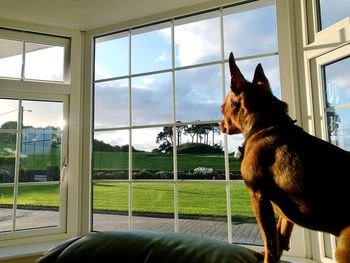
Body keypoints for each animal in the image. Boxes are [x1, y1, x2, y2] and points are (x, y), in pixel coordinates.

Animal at [221, 52, 350, 262]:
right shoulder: (283, 210)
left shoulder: (258, 196)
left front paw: (268, 257)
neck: (265, 124)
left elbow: (270, 240)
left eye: (222, 107)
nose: (219, 124)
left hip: (344, 248)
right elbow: (280, 235)